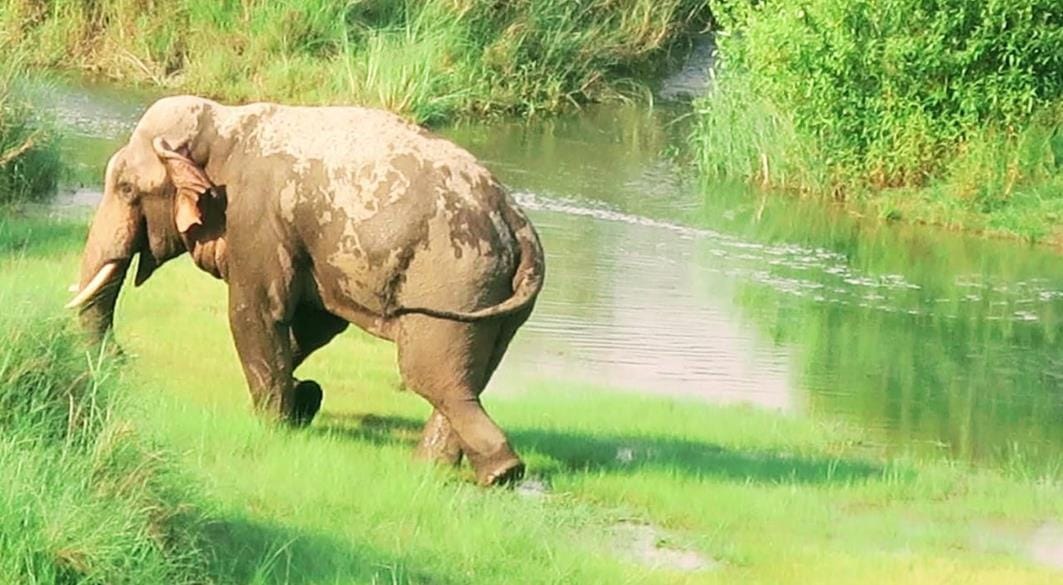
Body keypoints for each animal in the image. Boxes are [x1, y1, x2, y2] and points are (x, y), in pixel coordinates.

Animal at [66, 96, 545, 486]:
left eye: (126, 188)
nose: (120, 358)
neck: (225, 122)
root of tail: (520, 228)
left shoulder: (254, 219)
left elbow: (256, 313)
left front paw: (273, 424)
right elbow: (316, 325)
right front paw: (304, 399)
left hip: (453, 286)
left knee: (429, 375)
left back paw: (499, 473)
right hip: (494, 300)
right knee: (469, 376)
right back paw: (434, 470)